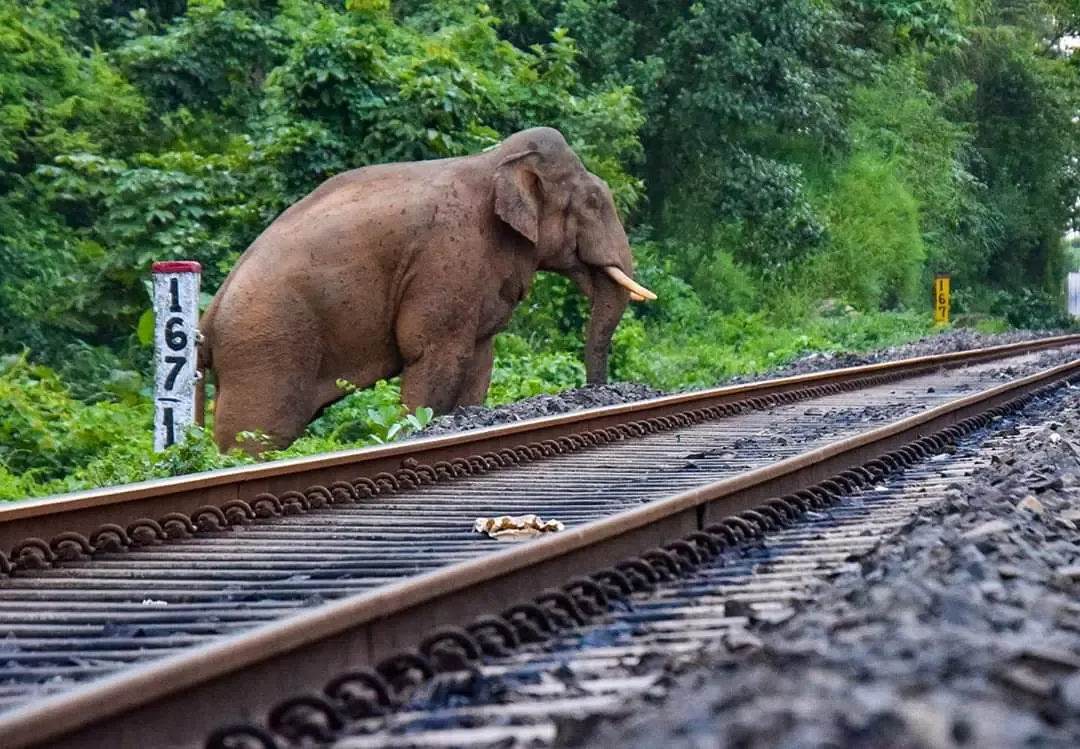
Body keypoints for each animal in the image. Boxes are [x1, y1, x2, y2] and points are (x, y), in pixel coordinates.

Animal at [197, 126, 656, 454]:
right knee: (255, 436)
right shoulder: (446, 259)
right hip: (267, 347)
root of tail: (210, 313)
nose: (599, 393)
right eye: (594, 202)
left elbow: (479, 358)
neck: (494, 161)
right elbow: (434, 354)